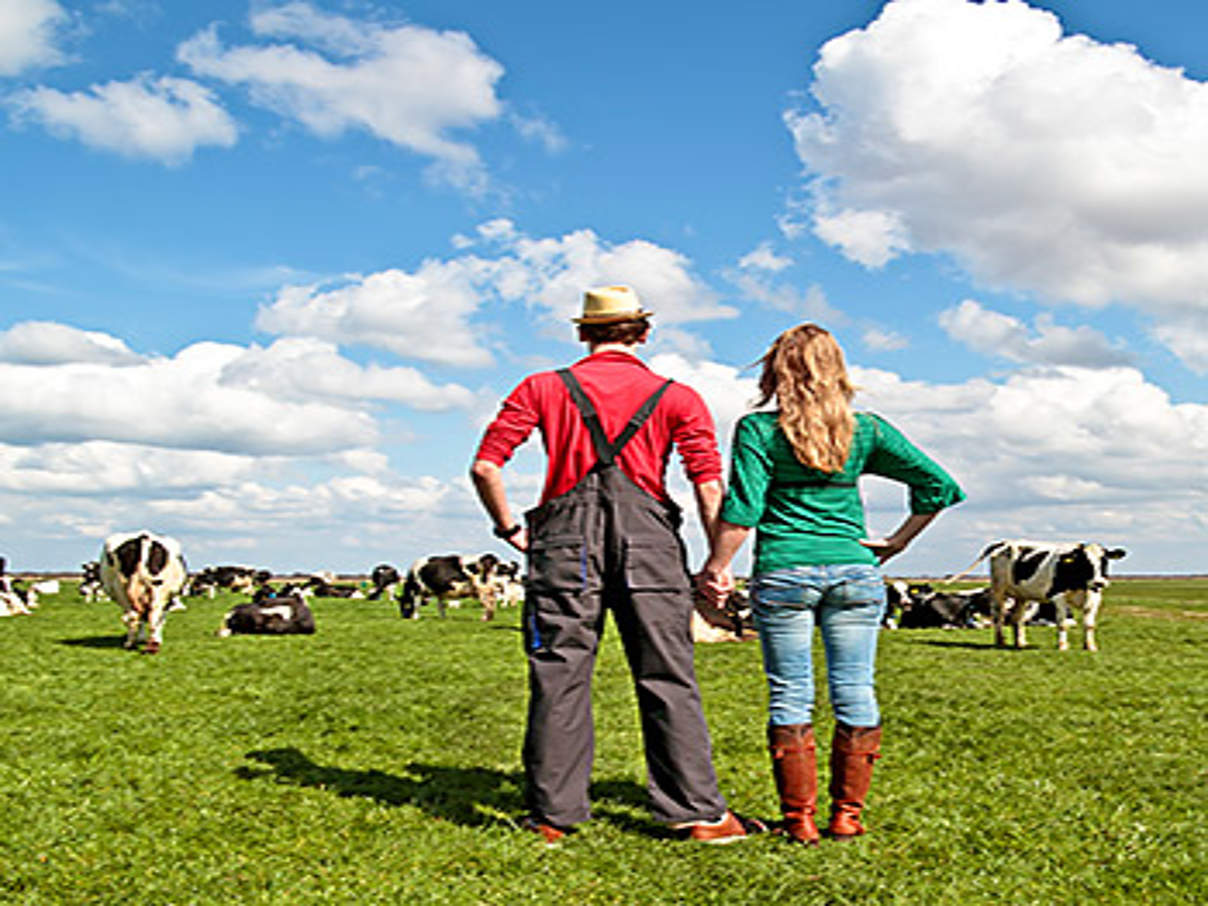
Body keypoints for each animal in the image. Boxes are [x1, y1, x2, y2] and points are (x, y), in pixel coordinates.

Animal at [951, 538, 1121, 652]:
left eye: (1104, 561)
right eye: (1085, 562)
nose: (1099, 582)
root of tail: (1005, 542)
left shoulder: (1094, 598)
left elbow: (1089, 624)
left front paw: (1090, 646)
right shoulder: (1058, 597)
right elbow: (1062, 623)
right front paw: (1062, 646)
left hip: (1021, 596)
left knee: (1017, 618)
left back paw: (1020, 643)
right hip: (999, 589)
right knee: (998, 615)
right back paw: (1000, 641)